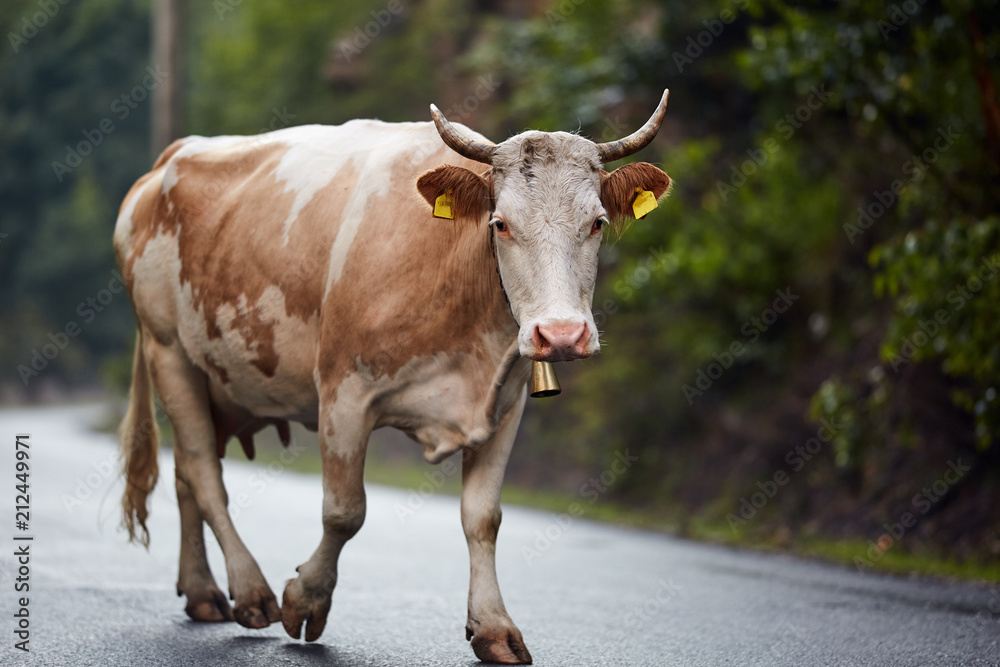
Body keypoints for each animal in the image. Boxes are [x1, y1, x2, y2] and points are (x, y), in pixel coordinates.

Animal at [113, 91, 672, 664]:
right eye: (499, 223)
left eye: (597, 222)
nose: (560, 334)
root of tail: (166, 163)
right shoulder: (343, 392)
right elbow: (344, 511)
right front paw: (306, 600)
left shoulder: (507, 404)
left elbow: (483, 517)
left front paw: (494, 628)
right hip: (168, 351)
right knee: (202, 471)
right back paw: (249, 592)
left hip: (218, 382)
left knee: (186, 473)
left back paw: (202, 592)